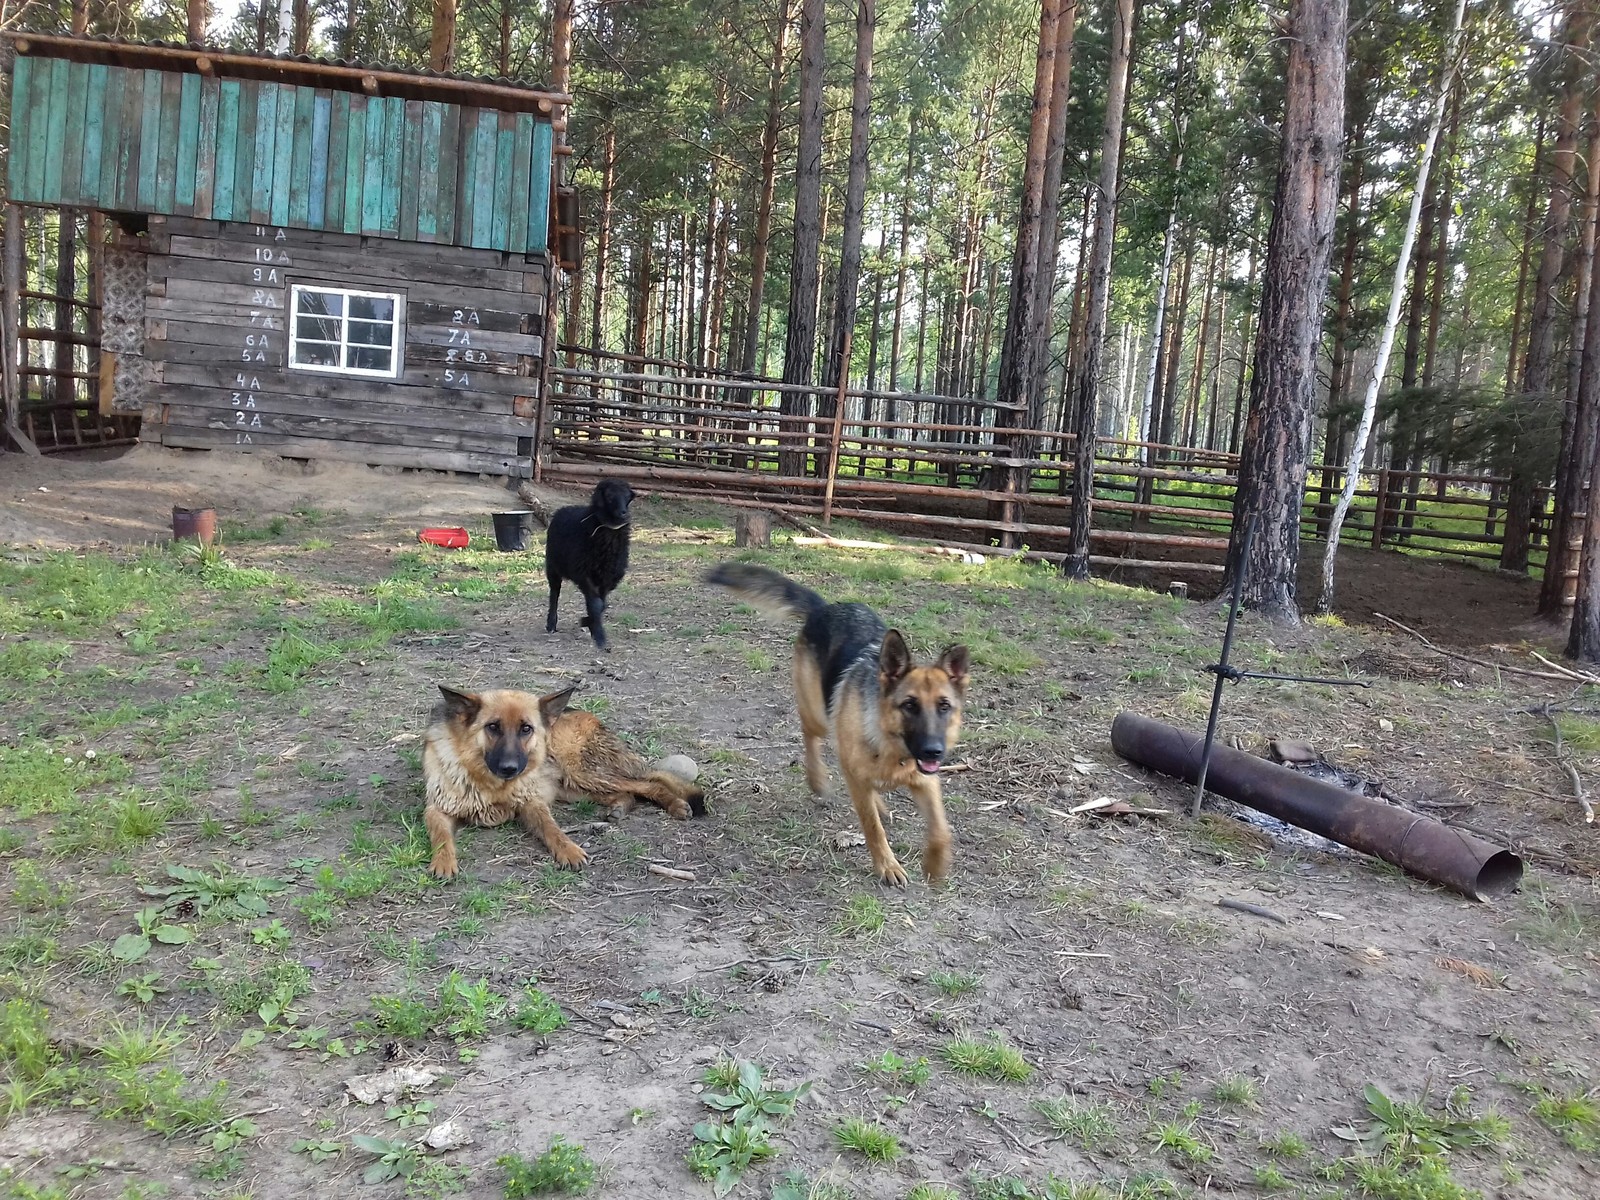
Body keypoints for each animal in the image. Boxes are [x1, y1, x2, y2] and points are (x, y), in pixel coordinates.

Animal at [540, 476, 633, 652]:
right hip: (553, 566)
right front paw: (599, 637)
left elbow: (602, 604)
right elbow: (596, 604)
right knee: (554, 593)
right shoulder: (584, 574)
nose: (623, 514)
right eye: (609, 496)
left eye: (627, 497)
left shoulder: (607, 578)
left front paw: (589, 623)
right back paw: (551, 624)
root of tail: (564, 508)